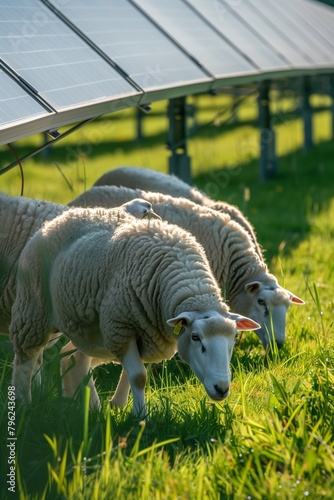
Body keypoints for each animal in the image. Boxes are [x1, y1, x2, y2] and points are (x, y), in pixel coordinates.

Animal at [9, 207, 258, 414]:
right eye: (196, 338)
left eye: (234, 339)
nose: (222, 388)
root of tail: (53, 222)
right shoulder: (121, 327)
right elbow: (138, 376)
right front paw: (140, 416)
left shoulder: (145, 332)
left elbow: (131, 374)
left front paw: (118, 405)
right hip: (33, 311)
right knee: (26, 357)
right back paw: (24, 402)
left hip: (88, 329)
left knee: (70, 358)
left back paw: (85, 405)